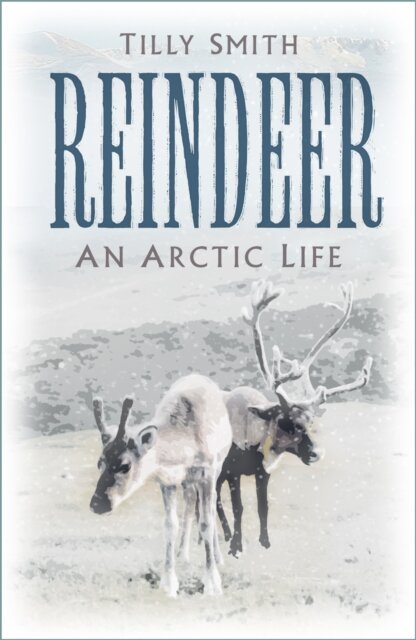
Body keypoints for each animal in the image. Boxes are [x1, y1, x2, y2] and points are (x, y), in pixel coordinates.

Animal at [89, 374, 232, 597]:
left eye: (125, 466)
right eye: (99, 462)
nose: (97, 504)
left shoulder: (207, 472)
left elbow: (206, 522)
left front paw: (212, 583)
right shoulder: (167, 481)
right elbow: (170, 525)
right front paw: (169, 583)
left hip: (217, 468)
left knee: (210, 505)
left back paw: (218, 558)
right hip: (188, 481)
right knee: (190, 500)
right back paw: (182, 554)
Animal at [216, 279, 373, 557]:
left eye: (310, 422)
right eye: (285, 422)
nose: (316, 453)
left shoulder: (262, 473)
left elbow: (263, 507)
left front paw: (265, 542)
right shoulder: (233, 472)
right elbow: (239, 508)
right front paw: (236, 546)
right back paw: (221, 535)